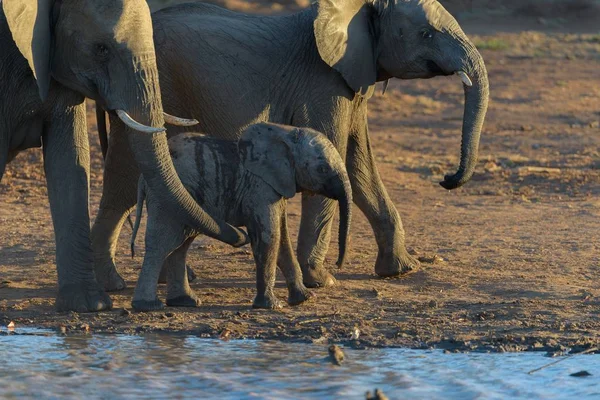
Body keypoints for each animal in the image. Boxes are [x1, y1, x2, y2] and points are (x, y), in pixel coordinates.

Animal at [94, 0, 488, 290]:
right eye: (425, 33)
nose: (447, 179)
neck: (360, 8)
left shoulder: (352, 82)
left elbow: (360, 167)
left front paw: (401, 270)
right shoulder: (323, 84)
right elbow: (335, 161)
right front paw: (323, 282)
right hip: (149, 90)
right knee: (125, 182)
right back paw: (118, 283)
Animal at [130, 123, 352, 310]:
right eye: (322, 169)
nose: (338, 264)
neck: (285, 133)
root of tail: (142, 178)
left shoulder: (276, 186)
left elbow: (282, 239)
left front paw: (304, 299)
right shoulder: (259, 187)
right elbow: (269, 237)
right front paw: (272, 306)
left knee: (180, 245)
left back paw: (185, 301)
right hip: (166, 202)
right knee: (162, 244)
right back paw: (149, 306)